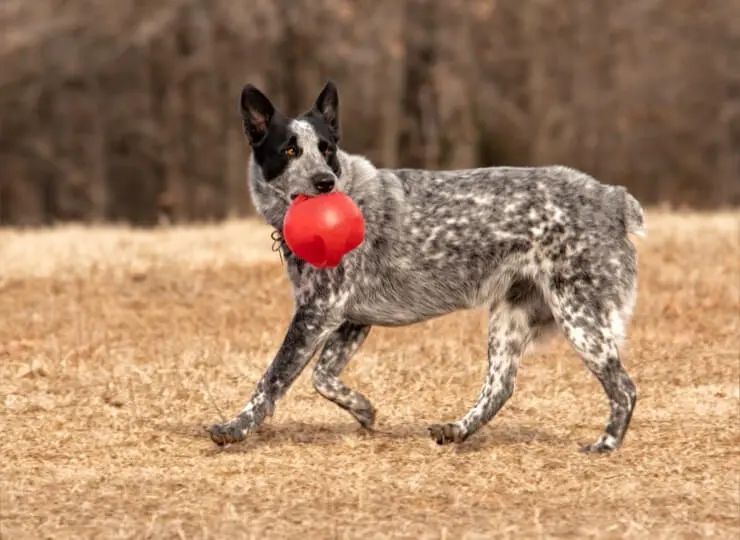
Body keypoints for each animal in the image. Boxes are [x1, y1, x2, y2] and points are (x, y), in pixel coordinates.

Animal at [208, 79, 648, 452]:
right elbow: (322, 377)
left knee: (624, 388)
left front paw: (235, 428)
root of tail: (612, 197)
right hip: (511, 318)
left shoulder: (318, 312)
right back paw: (457, 430)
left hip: (580, 319)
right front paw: (364, 409)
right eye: (289, 150)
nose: (324, 182)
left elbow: (274, 378)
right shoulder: (349, 319)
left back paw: (606, 444)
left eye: (327, 148)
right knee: (501, 386)